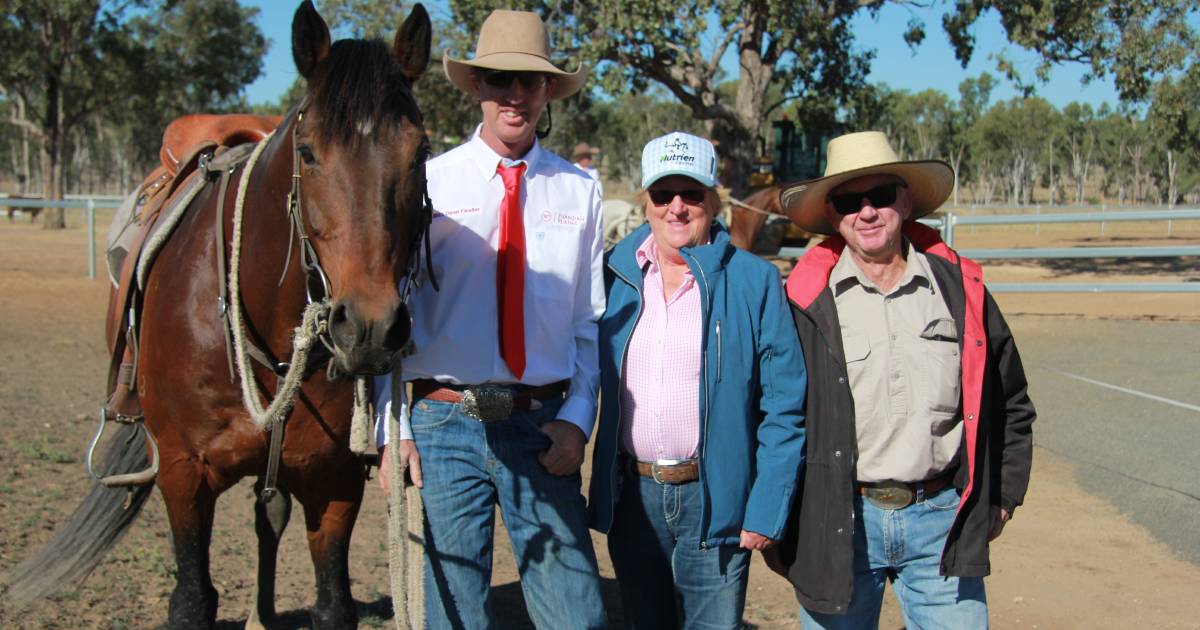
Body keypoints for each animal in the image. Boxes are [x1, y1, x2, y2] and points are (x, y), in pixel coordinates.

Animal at [0, 2, 432, 624]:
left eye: (419, 152)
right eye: (308, 152)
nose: (369, 326)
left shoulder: (335, 481)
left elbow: (332, 603)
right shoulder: (184, 475)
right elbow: (191, 600)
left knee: (267, 515)